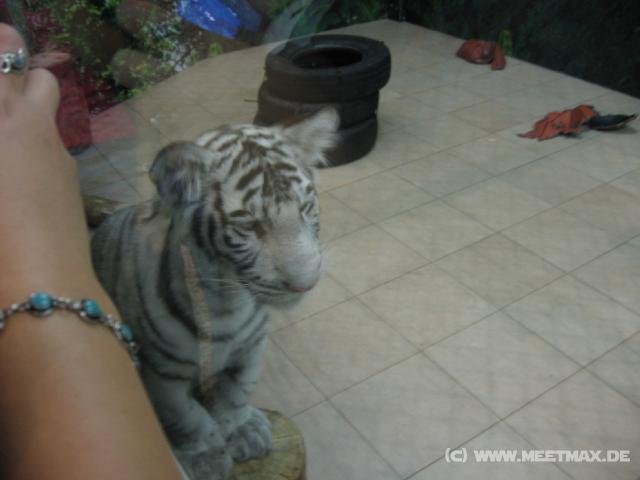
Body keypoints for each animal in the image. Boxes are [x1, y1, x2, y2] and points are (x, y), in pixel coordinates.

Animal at [90, 108, 339, 480]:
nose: (305, 284)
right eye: (249, 225)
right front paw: (205, 457)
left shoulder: (251, 346)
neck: (225, 301)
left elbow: (237, 391)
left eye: (306, 207)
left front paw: (243, 431)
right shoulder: (158, 370)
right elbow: (182, 415)